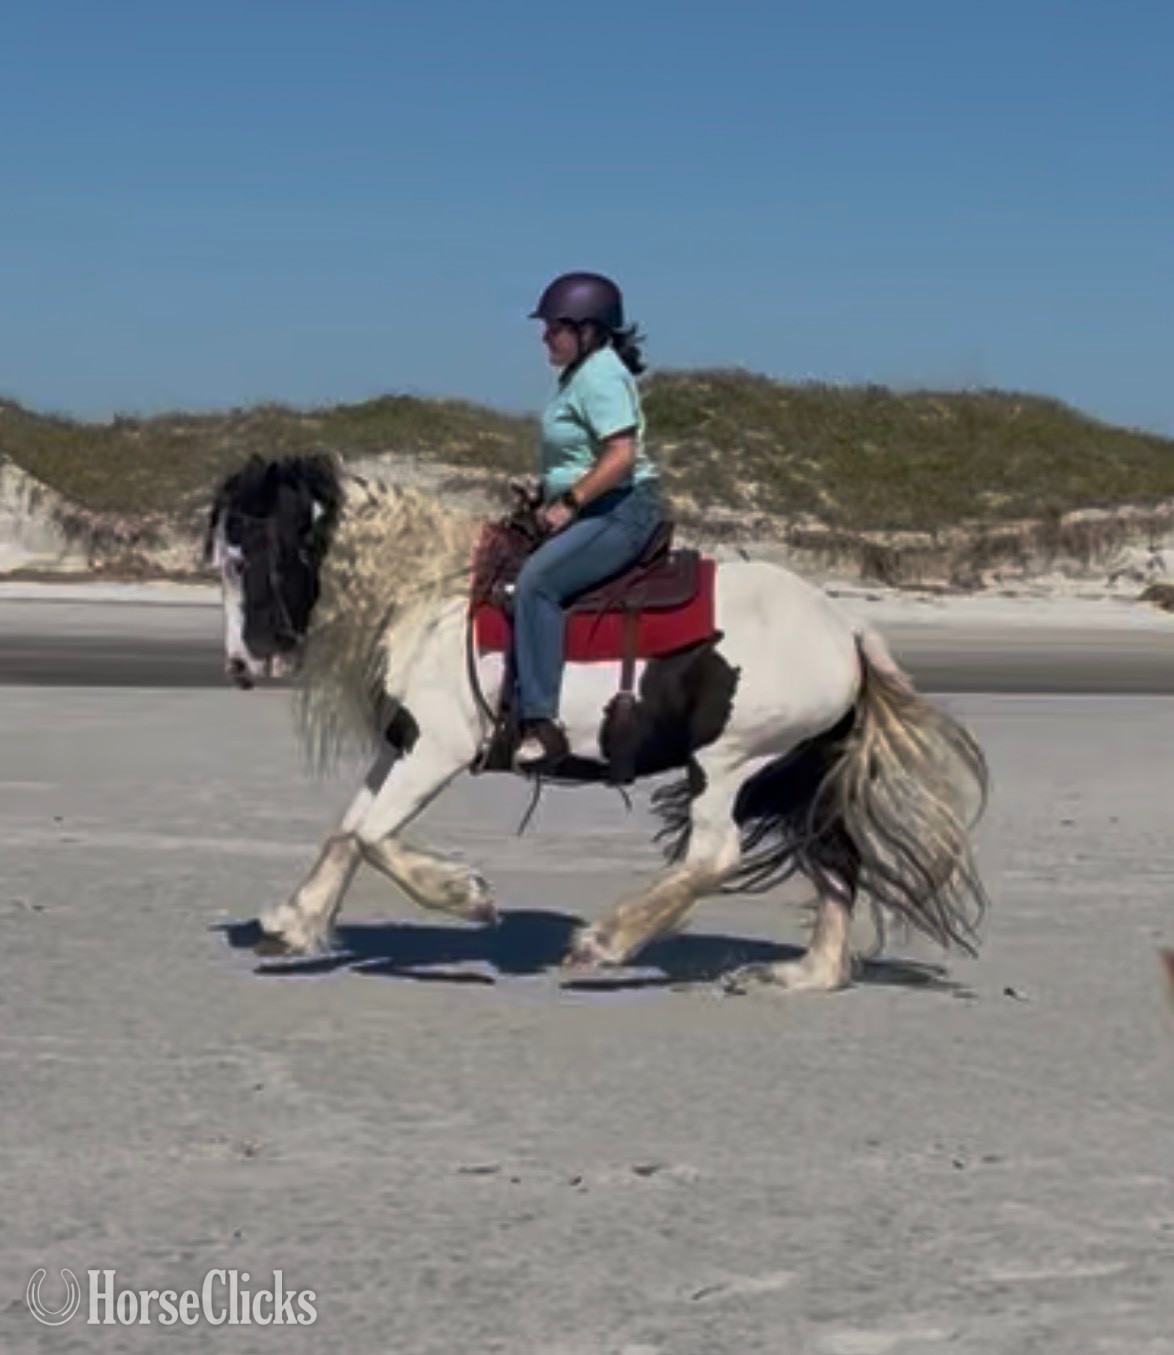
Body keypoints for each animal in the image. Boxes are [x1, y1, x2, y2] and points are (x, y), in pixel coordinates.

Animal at [204, 452, 990, 992]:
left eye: (245, 555)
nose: (243, 662)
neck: (429, 596)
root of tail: (846, 631)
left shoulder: (440, 748)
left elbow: (371, 835)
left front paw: (467, 897)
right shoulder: (406, 745)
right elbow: (348, 829)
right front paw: (294, 924)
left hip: (730, 760)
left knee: (715, 855)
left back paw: (605, 942)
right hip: (796, 773)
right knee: (833, 860)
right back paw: (803, 975)